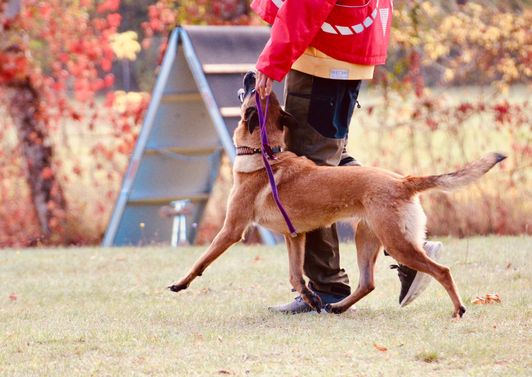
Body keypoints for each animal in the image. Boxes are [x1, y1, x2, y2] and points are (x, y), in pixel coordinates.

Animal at [168, 71, 504, 318]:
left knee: (442, 270)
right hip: (367, 238)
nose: (252, 73)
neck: (264, 152)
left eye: (254, 89)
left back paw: (458, 309)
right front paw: (309, 298)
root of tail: (403, 181)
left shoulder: (231, 229)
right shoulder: (295, 237)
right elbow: (295, 275)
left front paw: (181, 283)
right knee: (368, 283)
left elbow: (201, 260)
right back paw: (339, 306)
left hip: (394, 240)